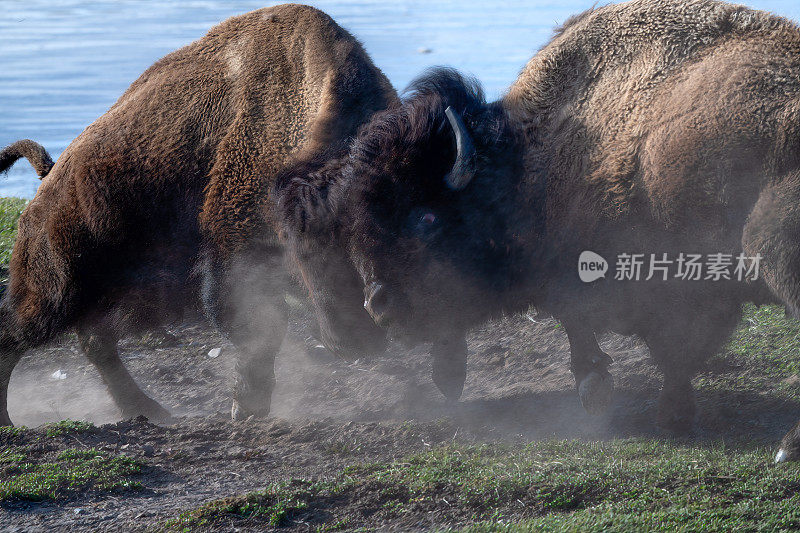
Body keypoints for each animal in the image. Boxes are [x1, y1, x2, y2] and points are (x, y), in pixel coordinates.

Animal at [0, 4, 396, 426]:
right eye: (308, 240)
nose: (363, 336)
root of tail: (49, 179)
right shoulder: (233, 253)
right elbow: (260, 328)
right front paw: (247, 407)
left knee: (95, 339)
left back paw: (148, 410)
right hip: (60, 286)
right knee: (18, 330)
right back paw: (10, 420)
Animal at [276, 0, 800, 462]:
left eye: (426, 217)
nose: (378, 304)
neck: (526, 163)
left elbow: (626, 337)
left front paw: (624, 401)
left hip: (770, 247)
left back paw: (785, 448)